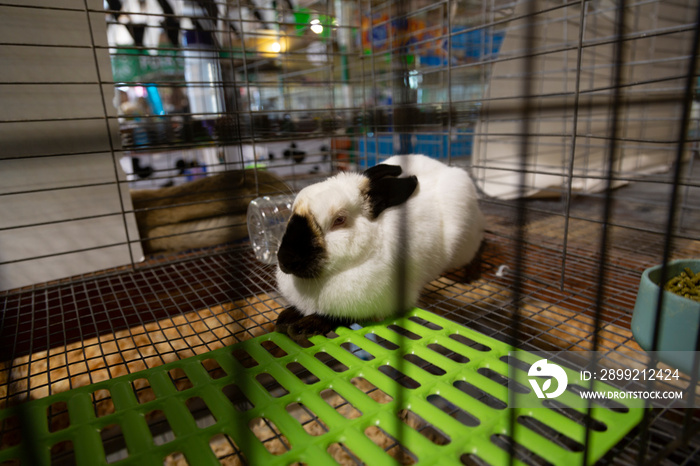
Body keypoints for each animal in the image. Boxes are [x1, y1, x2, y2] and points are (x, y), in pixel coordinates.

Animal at [274, 155, 486, 340]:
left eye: (339, 220)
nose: (285, 259)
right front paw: (285, 317)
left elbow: (336, 315)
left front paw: (303, 327)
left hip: (464, 245)